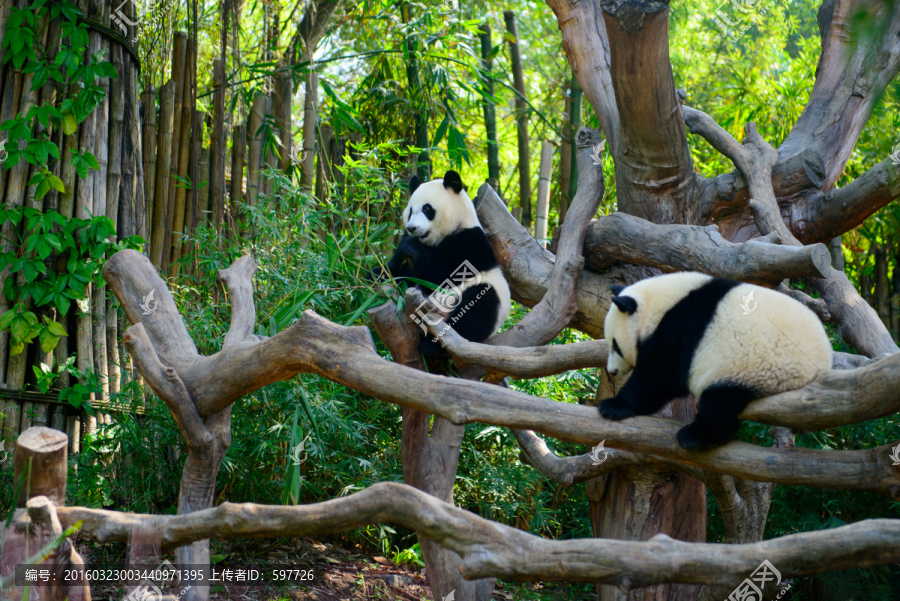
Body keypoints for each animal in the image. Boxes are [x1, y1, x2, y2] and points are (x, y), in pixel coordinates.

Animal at [386, 169, 510, 354]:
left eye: (427, 209)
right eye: (410, 211)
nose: (412, 228)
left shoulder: (470, 243)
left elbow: (442, 272)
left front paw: (409, 245)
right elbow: (403, 273)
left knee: (477, 309)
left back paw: (432, 345)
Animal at [596, 270, 828, 448]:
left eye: (615, 345)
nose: (613, 371)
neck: (662, 304)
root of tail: (821, 367)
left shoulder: (679, 329)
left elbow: (657, 377)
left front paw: (612, 406)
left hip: (757, 369)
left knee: (720, 404)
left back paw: (694, 436)